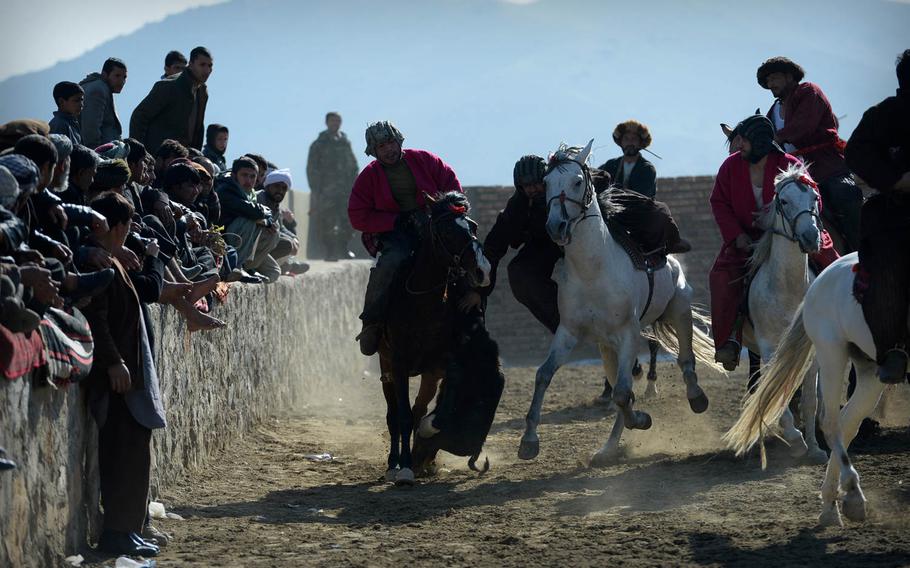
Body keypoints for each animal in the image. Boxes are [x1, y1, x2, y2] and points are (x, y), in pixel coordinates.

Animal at [520, 142, 728, 466]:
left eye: (577, 182)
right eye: (547, 183)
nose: (556, 226)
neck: (593, 271)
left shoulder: (629, 333)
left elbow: (622, 393)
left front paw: (643, 419)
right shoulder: (568, 332)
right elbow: (543, 375)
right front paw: (529, 441)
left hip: (678, 308)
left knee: (684, 361)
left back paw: (696, 398)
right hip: (608, 348)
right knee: (622, 390)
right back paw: (608, 449)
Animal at [732, 251, 888, 524]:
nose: (810, 242)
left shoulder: (810, 359)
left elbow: (808, 401)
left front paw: (811, 447)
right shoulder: (768, 346)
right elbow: (778, 397)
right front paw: (796, 439)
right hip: (830, 351)